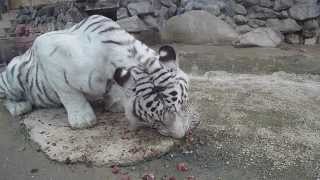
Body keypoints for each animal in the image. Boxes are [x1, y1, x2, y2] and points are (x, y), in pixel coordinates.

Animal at [0, 14, 199, 139]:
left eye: (182, 105)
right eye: (156, 119)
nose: (179, 136)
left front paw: (115, 104)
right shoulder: (46, 48)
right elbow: (69, 93)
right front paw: (83, 120)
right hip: (12, 77)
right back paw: (19, 107)